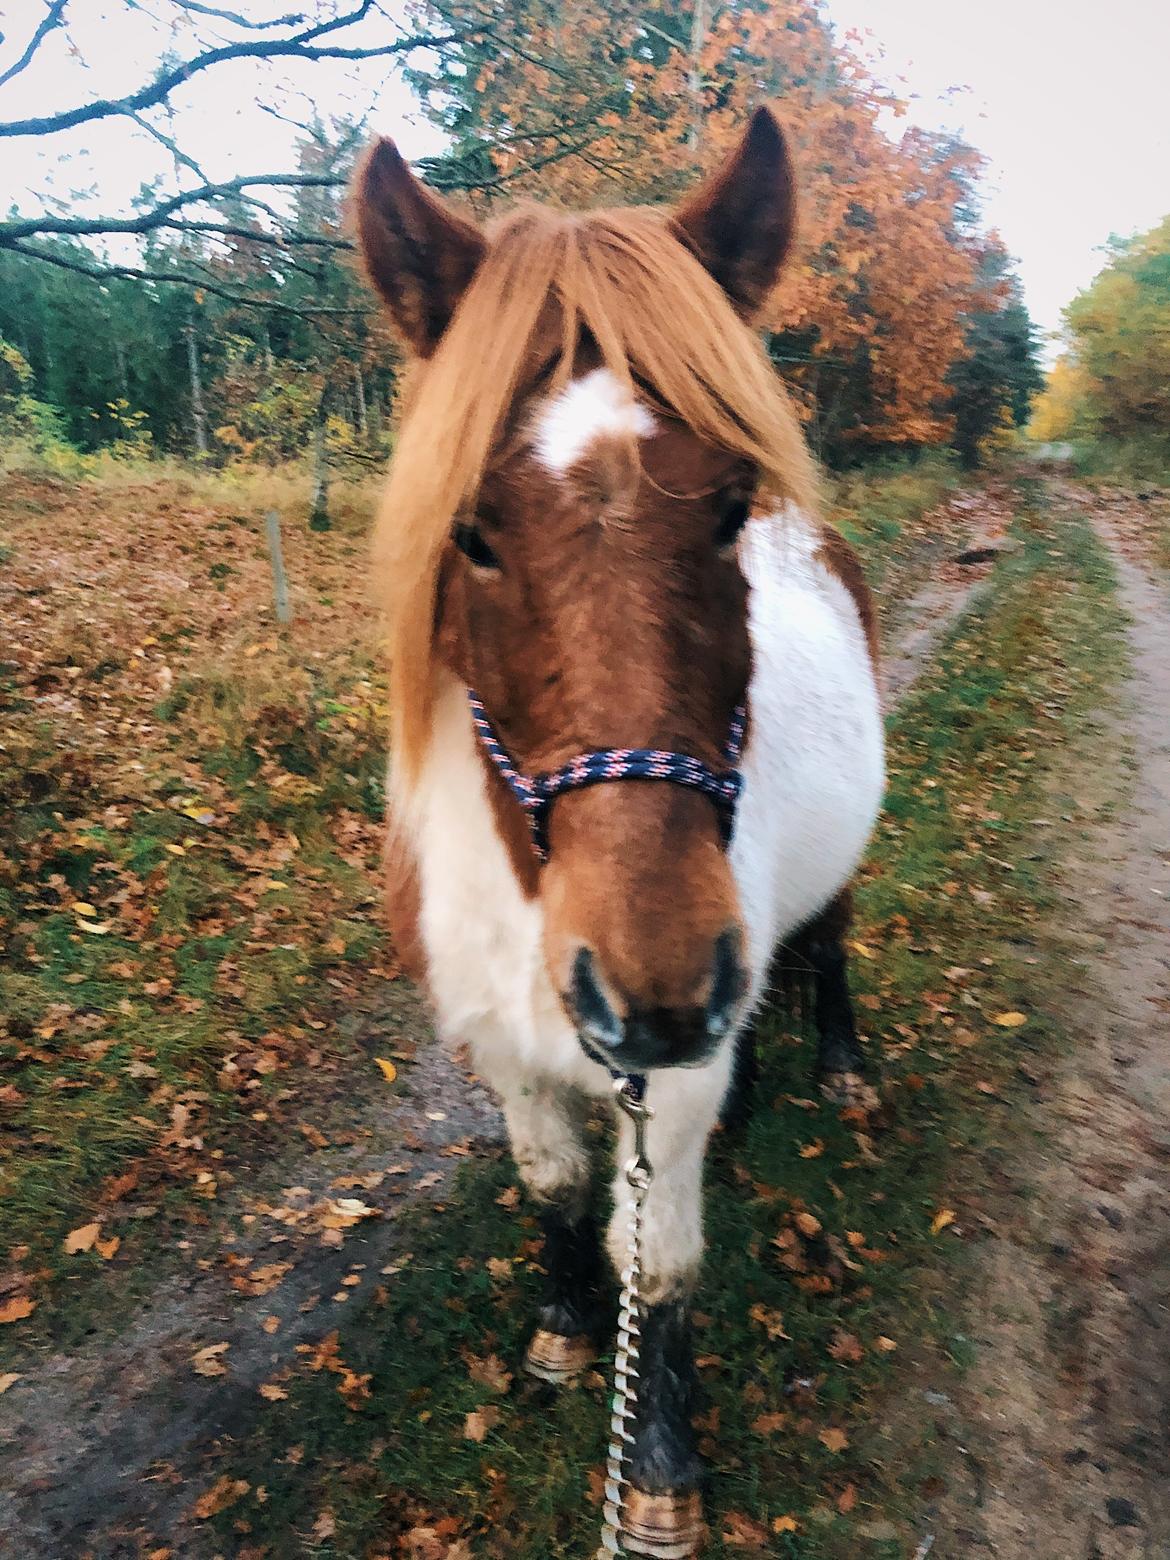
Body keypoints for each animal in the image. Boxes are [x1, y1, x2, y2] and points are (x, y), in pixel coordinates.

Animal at [352, 103, 886, 1553]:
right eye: (471, 532)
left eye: (729, 506)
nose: (654, 990)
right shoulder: (507, 1056)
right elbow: (552, 1192)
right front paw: (560, 1331)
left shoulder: (670, 1083)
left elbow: (660, 1262)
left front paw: (655, 1465)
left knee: (826, 943)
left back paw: (837, 1063)